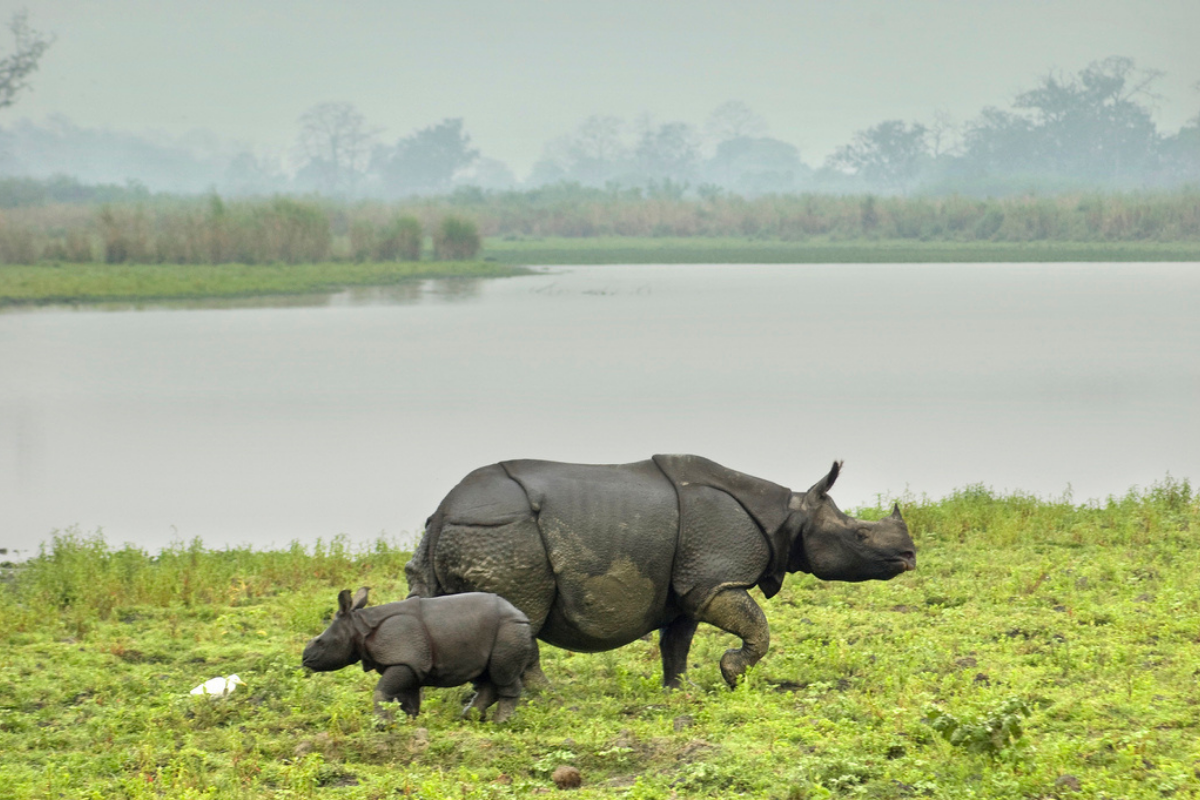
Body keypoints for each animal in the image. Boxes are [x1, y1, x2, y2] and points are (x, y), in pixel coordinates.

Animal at [302, 585, 532, 724]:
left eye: (320, 642)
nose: (304, 659)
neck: (359, 626)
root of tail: (521, 614)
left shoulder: (404, 660)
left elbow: (382, 690)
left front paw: (381, 725)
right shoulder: (410, 663)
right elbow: (407, 698)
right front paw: (408, 722)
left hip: (509, 628)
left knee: (502, 674)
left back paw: (501, 722)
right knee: (487, 676)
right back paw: (468, 717)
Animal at [405, 455, 916, 690]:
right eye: (860, 536)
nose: (910, 556)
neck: (789, 515)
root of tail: (444, 511)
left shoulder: (690, 585)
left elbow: (677, 642)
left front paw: (680, 690)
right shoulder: (716, 580)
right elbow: (758, 627)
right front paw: (732, 674)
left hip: (465, 535)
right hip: (504, 534)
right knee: (520, 619)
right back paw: (543, 698)